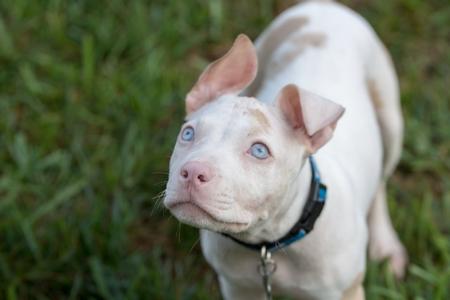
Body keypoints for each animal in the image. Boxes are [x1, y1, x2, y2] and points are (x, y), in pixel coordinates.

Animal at [164, 1, 408, 298]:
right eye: (188, 134)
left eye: (259, 151)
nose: (191, 172)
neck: (269, 244)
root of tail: (324, 7)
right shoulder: (237, 287)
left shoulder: (346, 291)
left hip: (390, 118)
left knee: (382, 179)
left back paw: (385, 244)